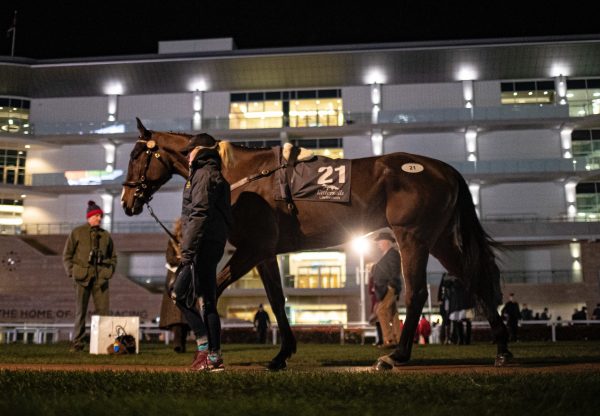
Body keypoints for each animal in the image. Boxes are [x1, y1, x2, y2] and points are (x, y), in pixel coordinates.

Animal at [120, 118, 510, 370]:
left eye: (136, 156)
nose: (127, 201)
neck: (240, 176)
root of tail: (446, 169)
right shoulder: (264, 253)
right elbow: (277, 301)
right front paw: (281, 354)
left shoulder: (250, 250)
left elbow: (212, 290)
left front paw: (213, 354)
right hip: (440, 239)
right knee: (477, 279)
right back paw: (503, 349)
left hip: (412, 237)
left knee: (415, 293)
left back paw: (396, 355)